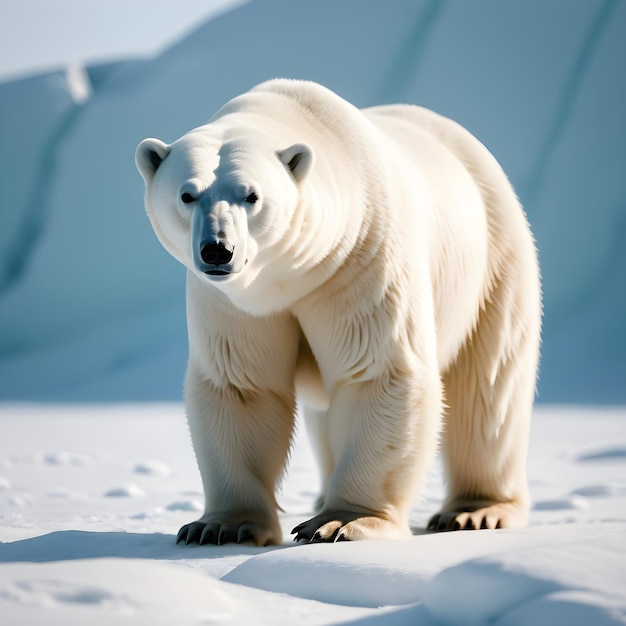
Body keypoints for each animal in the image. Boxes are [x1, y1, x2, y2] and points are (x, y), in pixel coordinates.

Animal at [134, 79, 540, 544]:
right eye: (187, 194)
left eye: (251, 195)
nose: (218, 249)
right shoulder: (230, 302)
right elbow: (243, 385)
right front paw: (220, 526)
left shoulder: (361, 257)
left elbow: (378, 372)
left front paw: (341, 521)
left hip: (495, 258)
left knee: (489, 390)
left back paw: (477, 510)